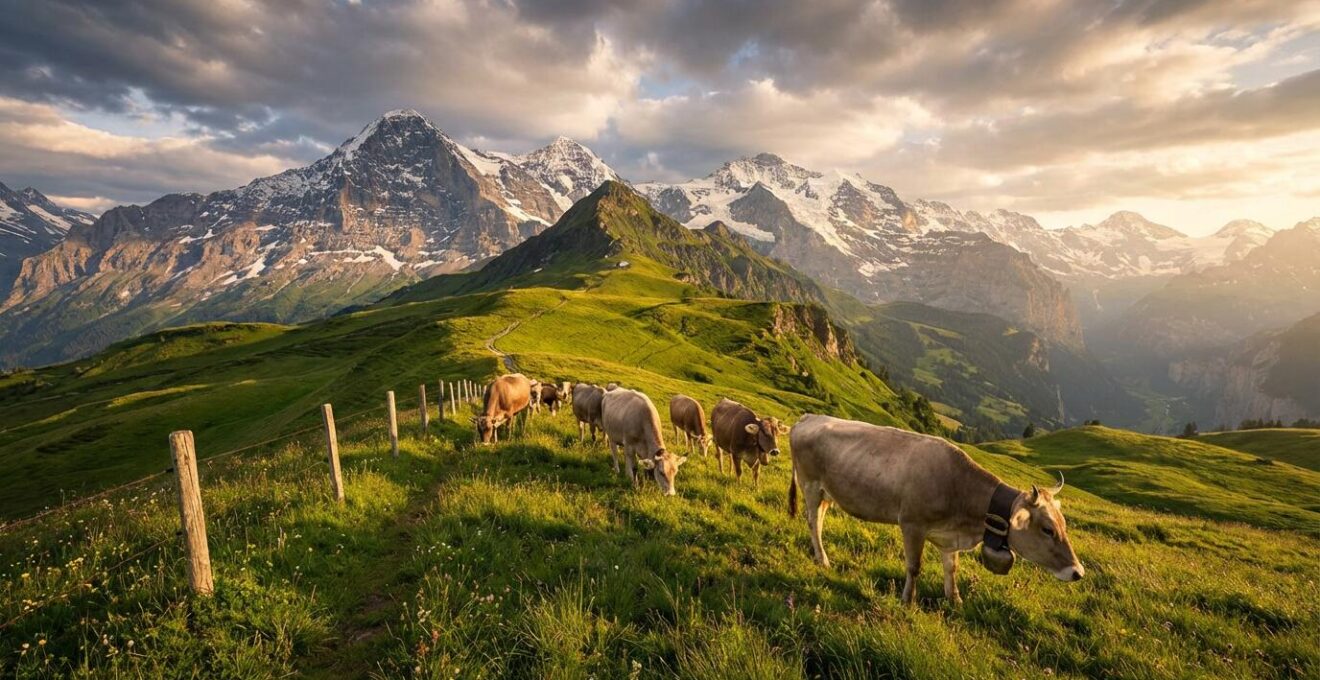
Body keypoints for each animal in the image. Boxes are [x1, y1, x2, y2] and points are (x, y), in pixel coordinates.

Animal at [788, 414, 1084, 605]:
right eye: (1047, 529)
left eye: (1064, 525)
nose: (1078, 572)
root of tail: (808, 416)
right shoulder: (912, 523)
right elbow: (914, 566)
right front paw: (908, 600)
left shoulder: (949, 537)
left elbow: (952, 568)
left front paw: (955, 599)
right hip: (810, 485)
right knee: (813, 521)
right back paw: (823, 559)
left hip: (828, 492)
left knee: (820, 519)